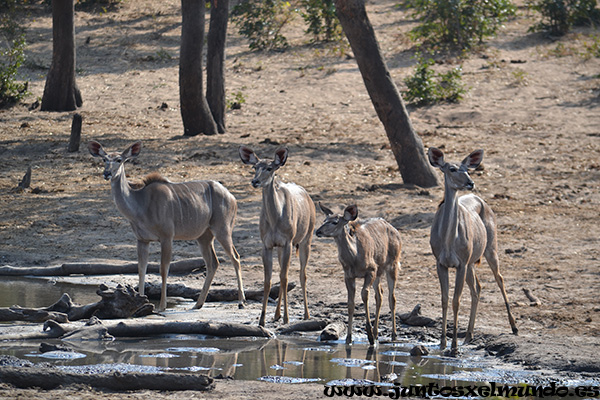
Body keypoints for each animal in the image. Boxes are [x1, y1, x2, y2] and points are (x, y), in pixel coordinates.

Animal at [87, 141, 246, 312]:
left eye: (119, 159)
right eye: (104, 159)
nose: (107, 173)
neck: (141, 204)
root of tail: (232, 197)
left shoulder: (167, 237)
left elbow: (163, 269)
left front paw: (161, 307)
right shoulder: (142, 240)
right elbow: (141, 269)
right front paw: (141, 303)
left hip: (222, 230)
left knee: (235, 258)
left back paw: (241, 302)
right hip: (204, 237)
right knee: (213, 263)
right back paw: (198, 303)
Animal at [238, 145, 316, 326]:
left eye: (269, 167)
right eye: (255, 167)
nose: (255, 181)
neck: (275, 220)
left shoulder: (287, 243)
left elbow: (285, 278)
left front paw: (287, 318)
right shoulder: (267, 245)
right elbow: (268, 280)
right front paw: (262, 319)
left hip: (306, 239)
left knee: (302, 274)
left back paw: (306, 314)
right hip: (282, 248)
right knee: (282, 273)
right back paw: (276, 315)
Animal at [314, 205, 404, 346]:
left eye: (335, 222)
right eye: (324, 220)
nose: (318, 231)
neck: (354, 258)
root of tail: (396, 231)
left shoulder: (371, 270)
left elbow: (364, 294)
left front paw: (369, 335)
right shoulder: (349, 276)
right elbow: (351, 303)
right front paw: (349, 338)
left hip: (392, 265)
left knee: (391, 298)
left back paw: (392, 335)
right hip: (379, 273)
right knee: (380, 295)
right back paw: (377, 334)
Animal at [428, 148, 516, 352]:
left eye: (467, 168)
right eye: (452, 168)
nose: (470, 182)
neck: (448, 240)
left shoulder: (460, 264)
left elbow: (456, 300)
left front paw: (453, 345)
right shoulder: (441, 263)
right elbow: (444, 299)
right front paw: (442, 342)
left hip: (490, 249)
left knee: (499, 278)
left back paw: (514, 327)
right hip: (471, 263)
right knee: (478, 287)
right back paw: (468, 335)